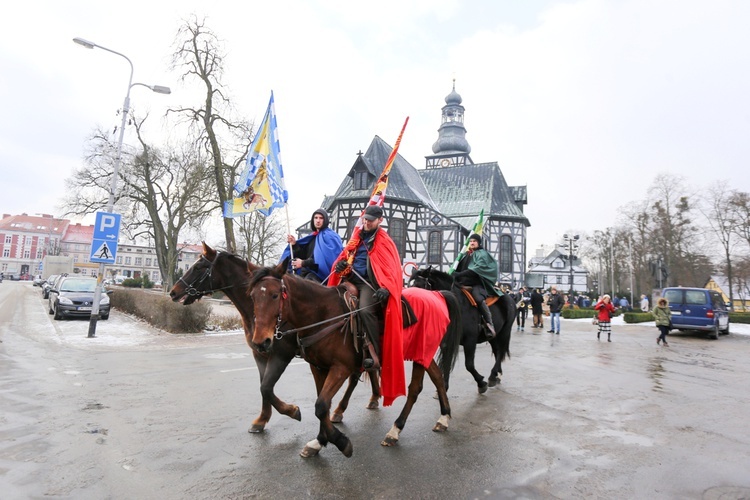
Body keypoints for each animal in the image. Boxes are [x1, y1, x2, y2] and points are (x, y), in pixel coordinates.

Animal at [171, 242, 382, 434]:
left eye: (198, 267)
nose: (174, 292)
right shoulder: (260, 354)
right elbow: (263, 386)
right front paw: (262, 419)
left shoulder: (282, 354)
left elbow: (266, 387)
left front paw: (292, 411)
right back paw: (369, 399)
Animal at [250, 262, 464, 458]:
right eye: (252, 296)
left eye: (275, 295)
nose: (261, 342)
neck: (323, 314)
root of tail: (437, 295)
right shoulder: (318, 368)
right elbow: (321, 404)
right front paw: (319, 441)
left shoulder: (340, 368)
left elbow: (321, 406)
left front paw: (341, 442)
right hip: (423, 354)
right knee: (437, 377)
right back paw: (443, 418)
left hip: (421, 351)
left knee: (414, 389)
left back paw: (395, 431)